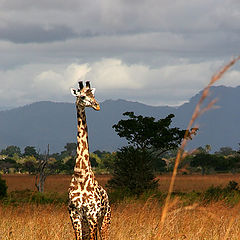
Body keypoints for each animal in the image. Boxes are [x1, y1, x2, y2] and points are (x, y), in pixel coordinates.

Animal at [68, 81, 111, 240]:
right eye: (82, 96)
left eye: (93, 94)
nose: (97, 105)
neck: (80, 175)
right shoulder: (75, 214)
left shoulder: (92, 214)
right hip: (87, 222)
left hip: (105, 219)